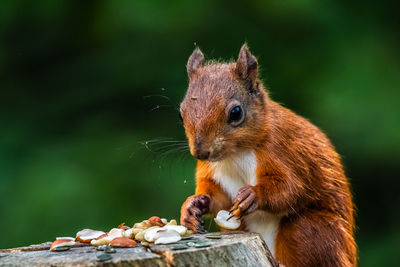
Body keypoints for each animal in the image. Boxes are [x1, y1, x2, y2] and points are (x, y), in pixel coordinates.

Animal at [178, 45, 356, 266]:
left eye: (236, 113)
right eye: (180, 114)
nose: (201, 153)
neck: (235, 155)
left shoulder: (284, 152)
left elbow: (291, 188)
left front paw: (253, 195)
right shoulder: (212, 171)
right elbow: (218, 198)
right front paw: (192, 206)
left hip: (311, 230)